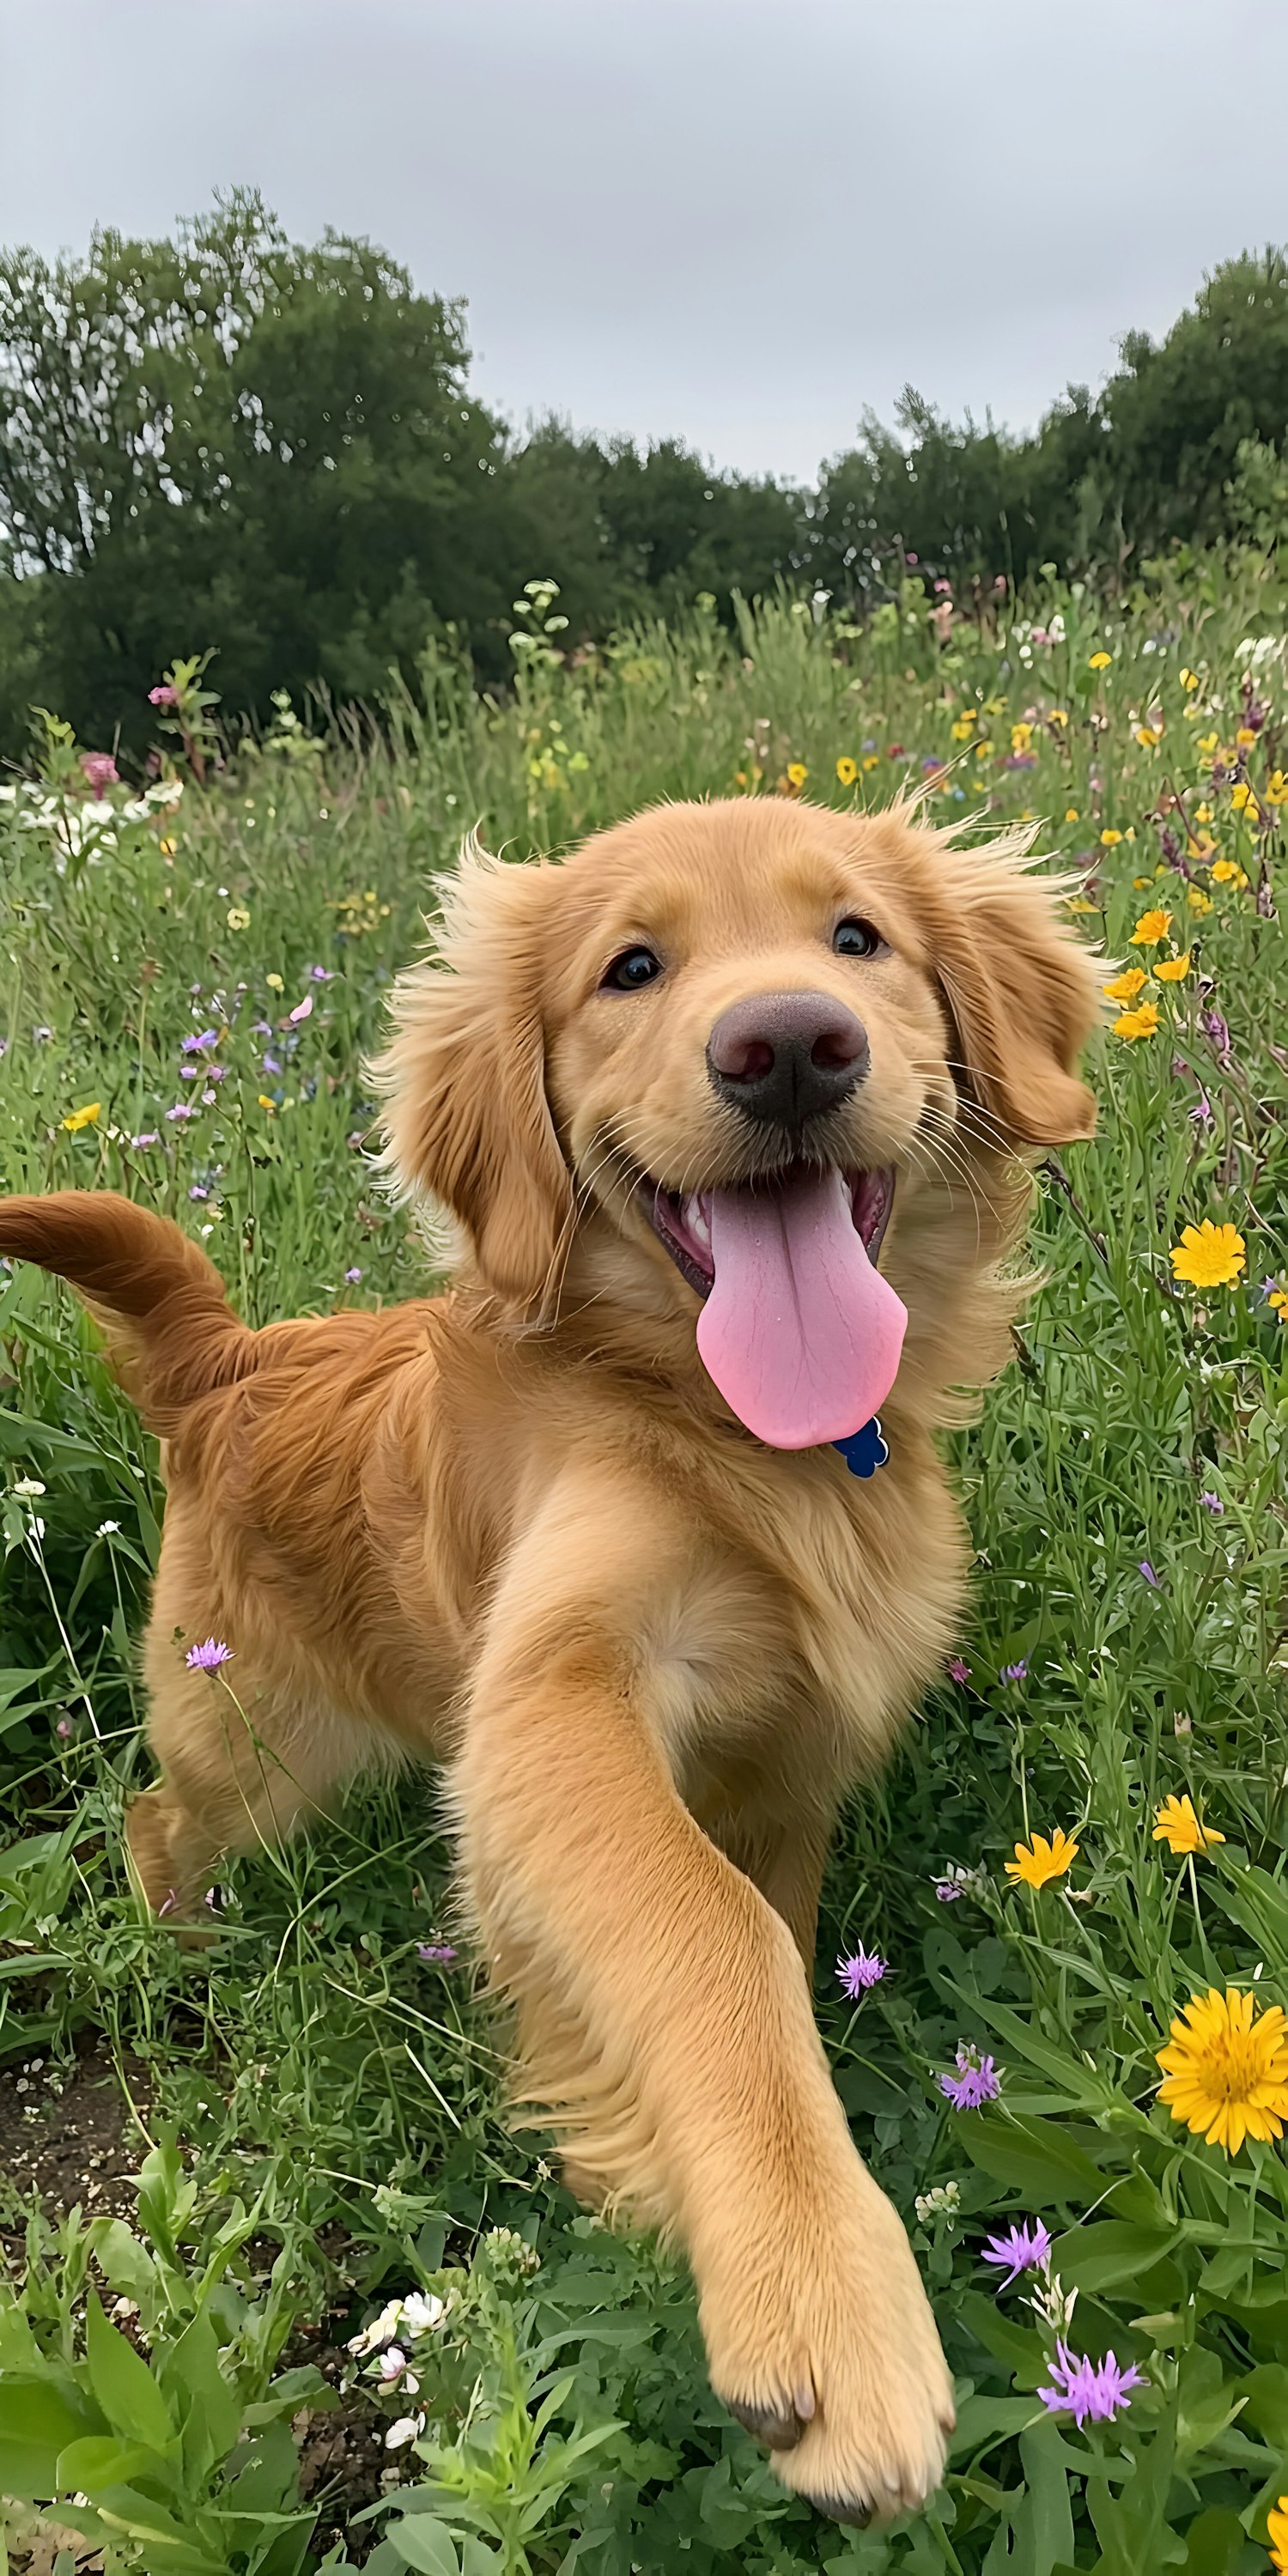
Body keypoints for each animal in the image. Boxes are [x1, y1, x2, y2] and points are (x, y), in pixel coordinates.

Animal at [0, 799, 1103, 2514]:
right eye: (630, 969)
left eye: (858, 937)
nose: (791, 1047)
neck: (739, 1435)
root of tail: (228, 1360)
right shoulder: (554, 1689)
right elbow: (711, 1939)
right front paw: (818, 2283)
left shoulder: (790, 1759)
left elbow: (770, 1932)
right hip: (246, 1742)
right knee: (154, 1820)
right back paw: (183, 1955)